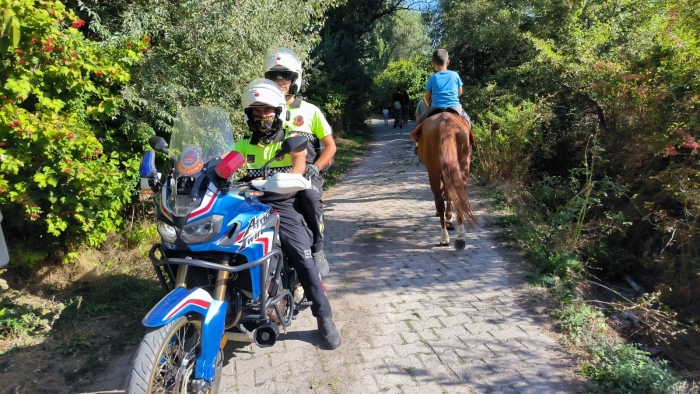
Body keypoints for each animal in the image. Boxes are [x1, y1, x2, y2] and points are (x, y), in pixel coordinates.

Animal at [408, 111, 478, 249]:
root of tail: (446, 122)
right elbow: (449, 193)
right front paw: (449, 219)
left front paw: (448, 219)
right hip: (463, 166)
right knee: (458, 196)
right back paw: (460, 237)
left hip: (433, 170)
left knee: (439, 199)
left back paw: (444, 237)